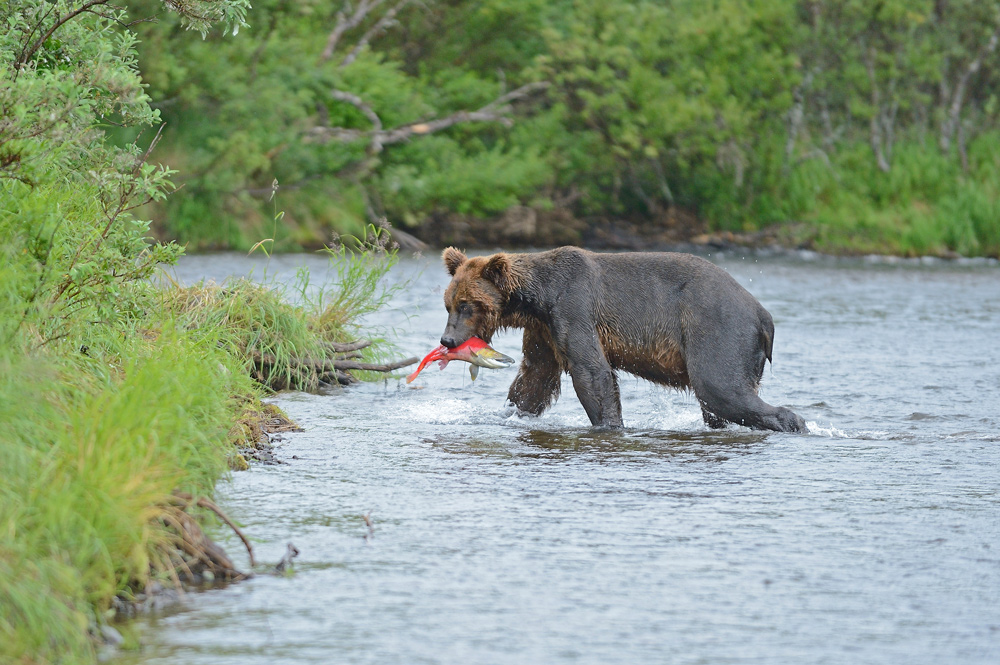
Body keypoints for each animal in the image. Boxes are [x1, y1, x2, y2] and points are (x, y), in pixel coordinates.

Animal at [442, 246, 808, 434]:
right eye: (449, 303)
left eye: (467, 305)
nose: (447, 340)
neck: (538, 297)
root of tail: (762, 313)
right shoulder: (543, 330)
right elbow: (535, 379)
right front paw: (504, 414)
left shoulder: (573, 307)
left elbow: (592, 372)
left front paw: (609, 424)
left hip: (718, 328)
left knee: (721, 389)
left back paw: (795, 423)